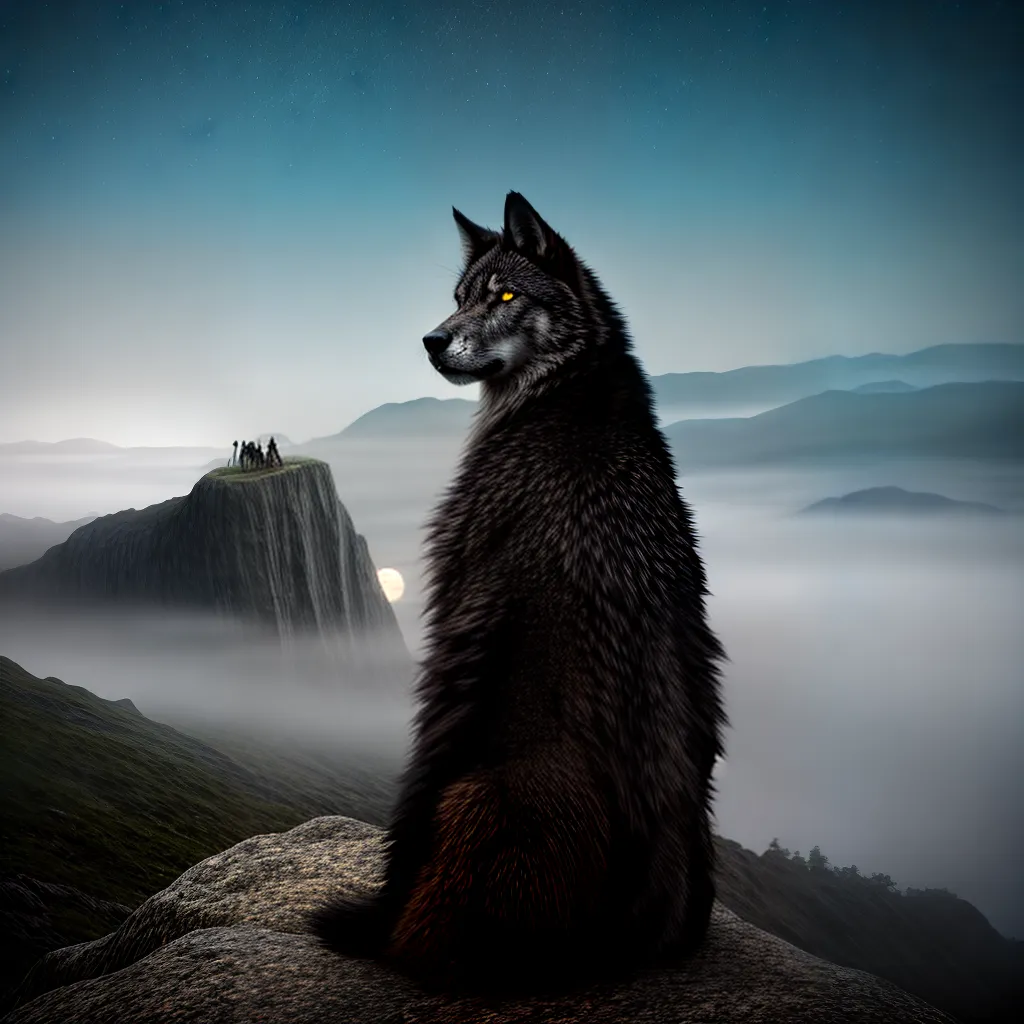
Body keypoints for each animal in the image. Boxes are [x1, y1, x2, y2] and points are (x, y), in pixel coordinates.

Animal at [311, 191, 727, 993]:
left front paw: (373, 916)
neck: (568, 396)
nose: (431, 340)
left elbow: (419, 783)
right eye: (459, 297)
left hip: (484, 797)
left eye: (504, 297)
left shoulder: (459, 621)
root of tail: (610, 947)